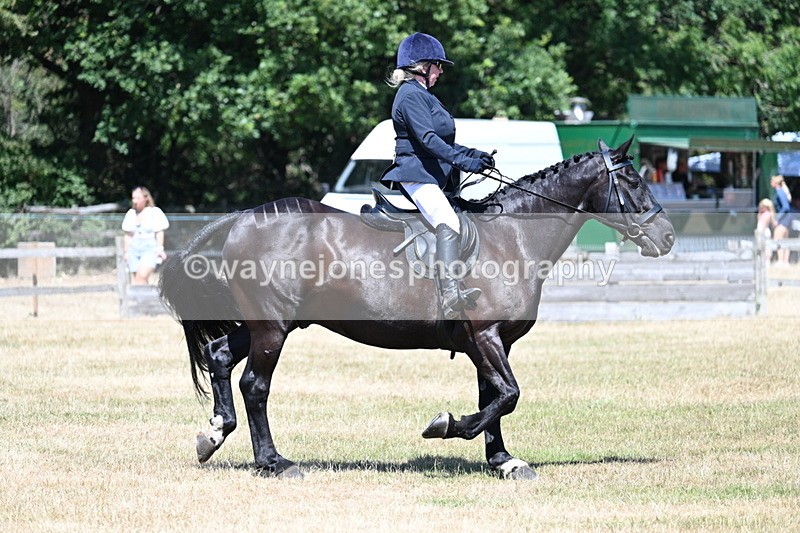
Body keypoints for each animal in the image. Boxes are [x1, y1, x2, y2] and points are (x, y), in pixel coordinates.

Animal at [159, 137, 674, 480]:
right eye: (632, 179)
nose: (667, 237)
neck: (513, 238)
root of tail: (244, 217)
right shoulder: (486, 336)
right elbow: (508, 394)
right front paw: (445, 426)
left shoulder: (490, 342)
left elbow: (494, 397)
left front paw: (503, 460)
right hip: (273, 328)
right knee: (255, 385)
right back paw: (273, 462)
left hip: (269, 323)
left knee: (221, 356)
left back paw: (213, 434)